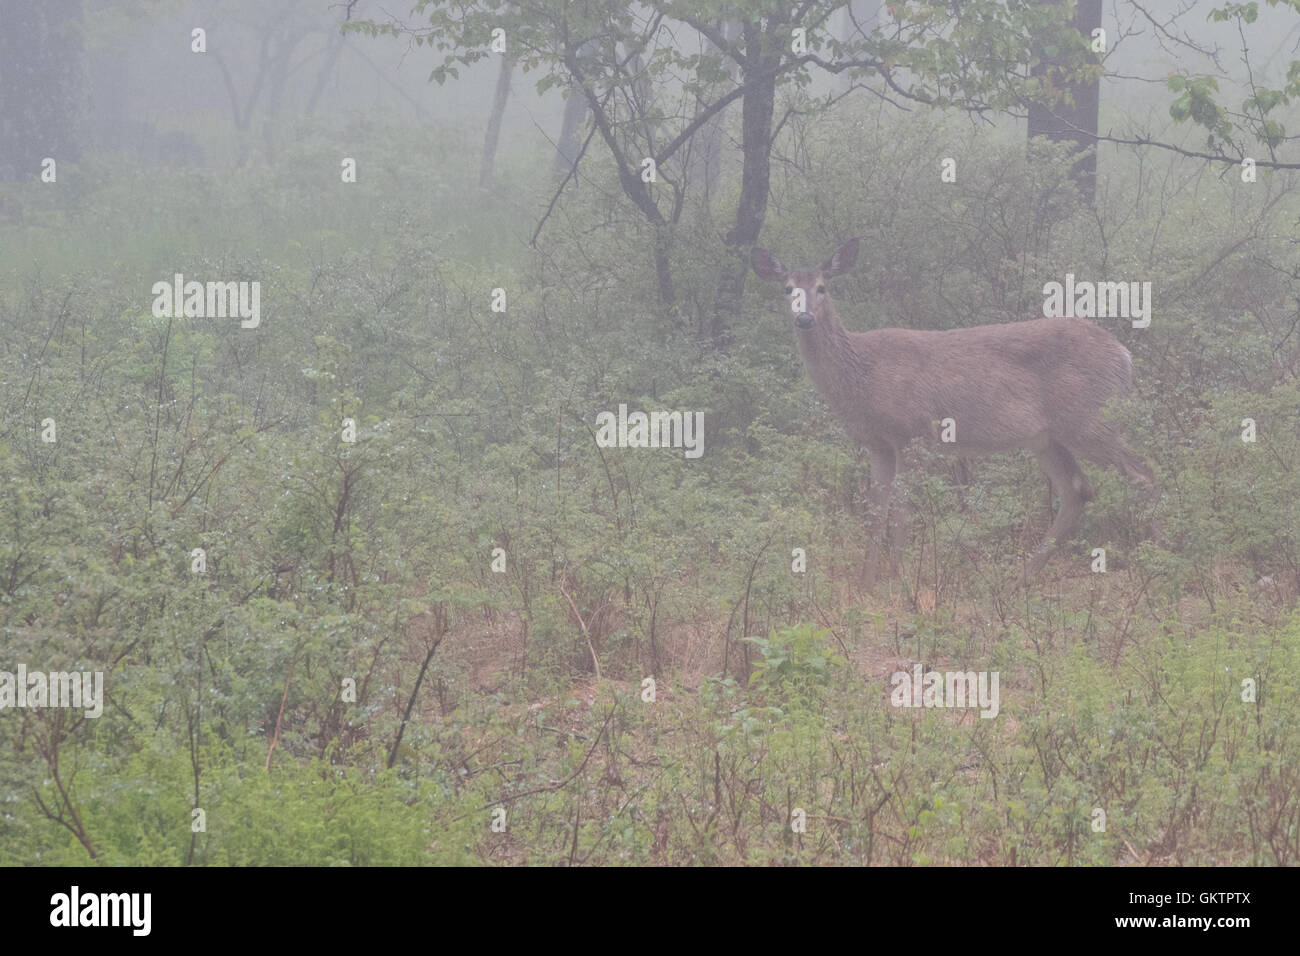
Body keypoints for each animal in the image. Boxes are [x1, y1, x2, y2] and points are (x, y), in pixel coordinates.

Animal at [751, 238, 1154, 586]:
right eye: (787, 288)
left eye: (823, 287)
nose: (804, 319)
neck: (863, 375)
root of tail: (1124, 356)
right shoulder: (877, 444)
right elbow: (874, 512)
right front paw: (866, 583)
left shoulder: (914, 432)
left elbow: (902, 508)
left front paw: (897, 580)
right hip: (1047, 436)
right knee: (1077, 489)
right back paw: (1020, 577)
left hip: (1092, 417)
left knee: (1142, 473)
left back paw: (1157, 557)